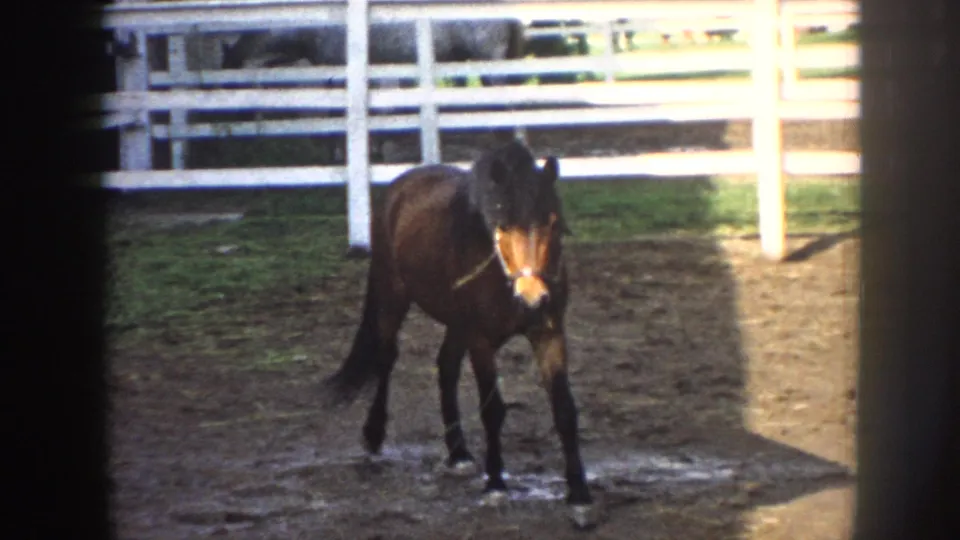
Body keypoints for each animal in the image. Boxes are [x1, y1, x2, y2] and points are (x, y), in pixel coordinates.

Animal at [320, 140, 596, 529]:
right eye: (503, 223)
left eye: (552, 222)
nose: (532, 297)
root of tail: (402, 184)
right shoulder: (481, 340)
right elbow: (492, 410)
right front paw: (495, 485)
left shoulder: (548, 333)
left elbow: (565, 411)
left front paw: (579, 496)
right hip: (393, 295)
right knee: (386, 359)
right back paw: (374, 435)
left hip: (456, 323)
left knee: (446, 366)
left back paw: (459, 452)